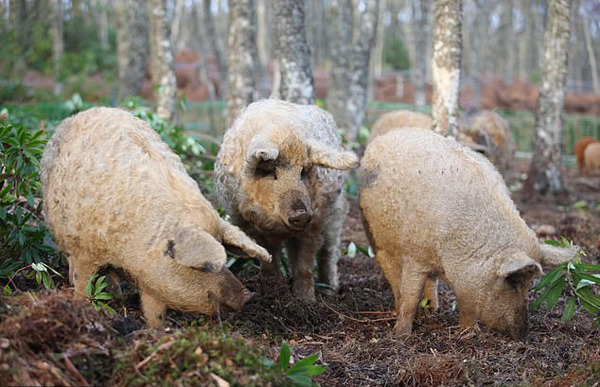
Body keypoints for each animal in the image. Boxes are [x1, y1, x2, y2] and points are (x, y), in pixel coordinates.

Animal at [43, 106, 274, 328]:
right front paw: (83, 307)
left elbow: (154, 310)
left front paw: (157, 330)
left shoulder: (152, 276)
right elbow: (82, 283)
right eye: (204, 267)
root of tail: (87, 111)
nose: (249, 296)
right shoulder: (82, 250)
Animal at [214, 98, 358, 302]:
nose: (302, 214)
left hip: (336, 210)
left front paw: (306, 301)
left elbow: (304, 265)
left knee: (329, 251)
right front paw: (273, 292)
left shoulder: (314, 224)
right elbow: (268, 260)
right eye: (271, 173)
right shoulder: (247, 224)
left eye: (303, 172)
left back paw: (329, 292)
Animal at [358, 128, 580, 340]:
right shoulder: (415, 256)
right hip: (376, 238)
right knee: (393, 277)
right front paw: (401, 336)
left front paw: (471, 333)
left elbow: (467, 306)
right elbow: (410, 297)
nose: (523, 336)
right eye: (513, 281)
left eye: (528, 285)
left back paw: (433, 309)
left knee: (430, 283)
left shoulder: (465, 279)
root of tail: (385, 136)